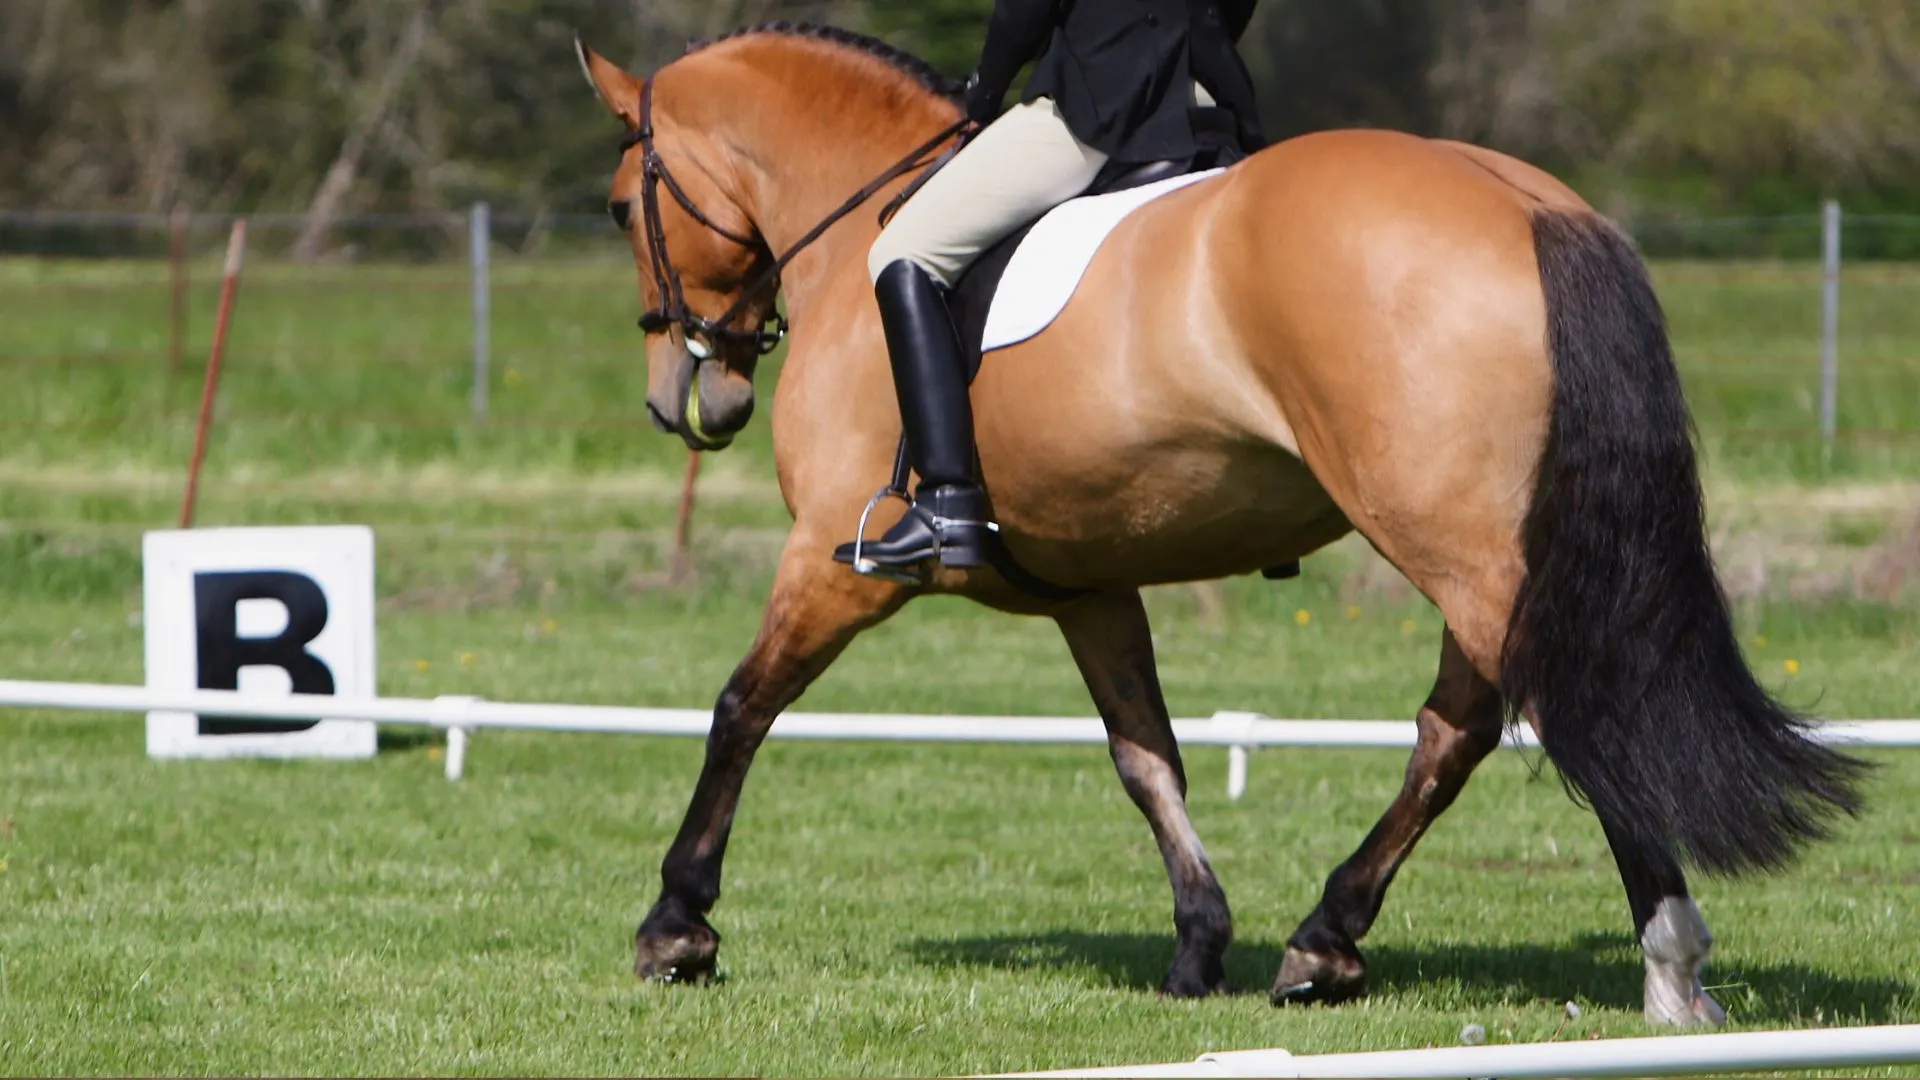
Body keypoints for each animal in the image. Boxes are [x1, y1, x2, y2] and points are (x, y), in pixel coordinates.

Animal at [569, 22, 1867, 1024]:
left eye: (622, 205)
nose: (688, 399)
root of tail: (1529, 201)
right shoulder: (1089, 586)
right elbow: (1147, 755)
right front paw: (1198, 941)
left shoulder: (839, 565)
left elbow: (740, 708)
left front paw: (676, 927)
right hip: (1486, 545)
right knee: (1459, 727)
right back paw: (1324, 942)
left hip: (1459, 542)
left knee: (1555, 709)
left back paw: (1666, 959)